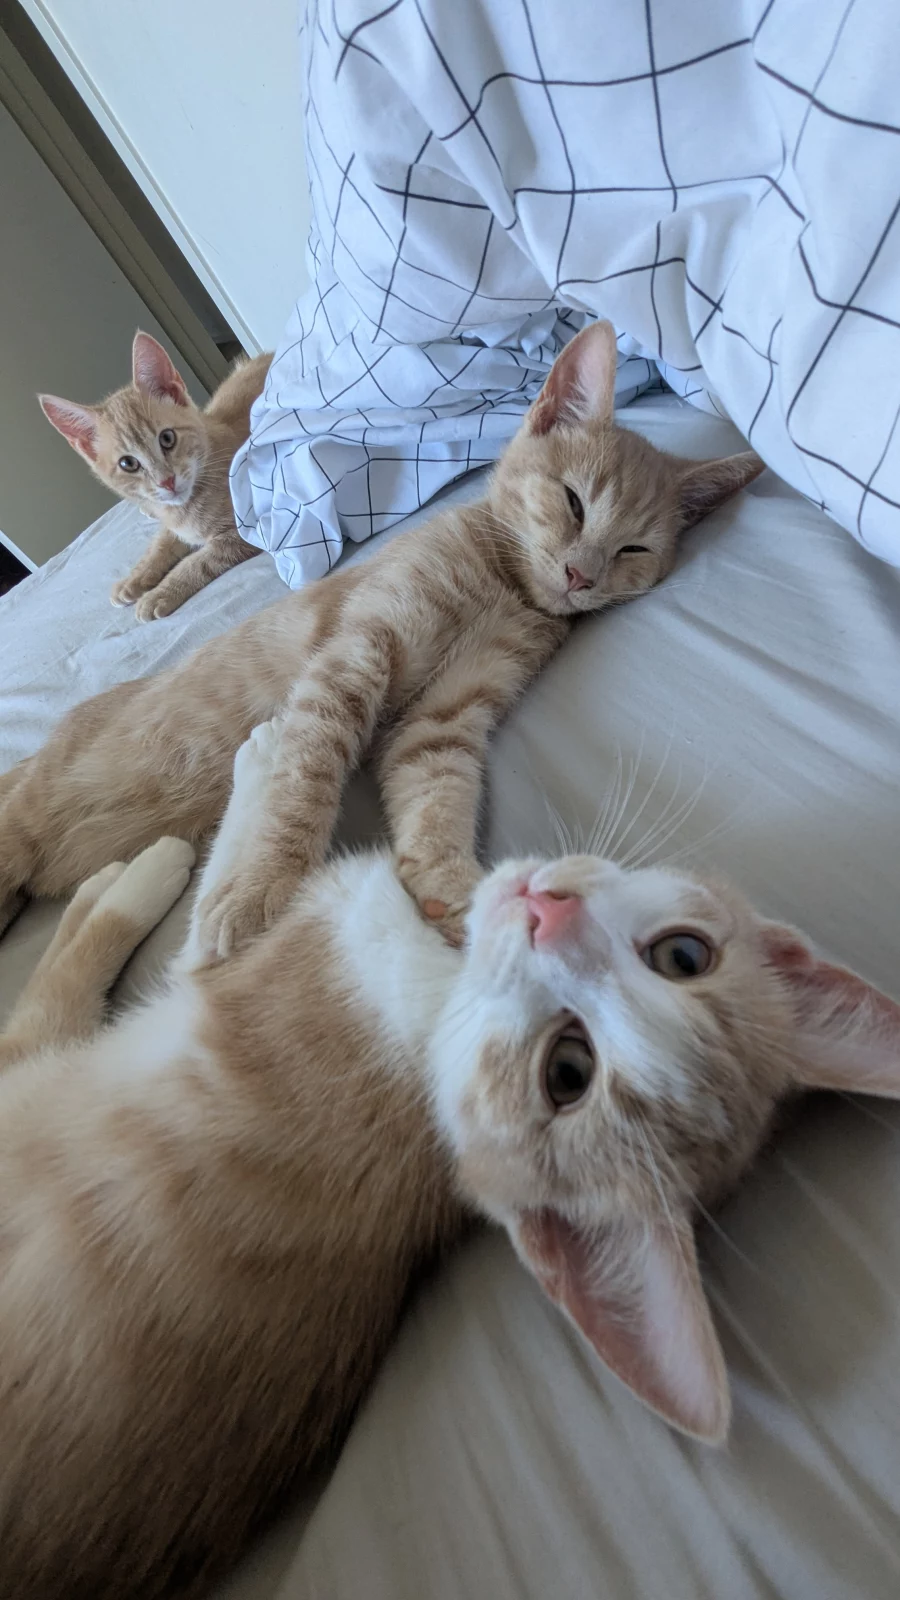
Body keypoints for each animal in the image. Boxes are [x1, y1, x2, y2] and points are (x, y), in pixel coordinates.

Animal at [2, 718, 899, 1600]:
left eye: (566, 1072)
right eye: (684, 955)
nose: (548, 912)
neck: (440, 1011)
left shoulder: (263, 965)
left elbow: (224, 887)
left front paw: (253, 771)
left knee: (42, 1014)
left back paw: (119, 878)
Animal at [39, 333, 272, 621]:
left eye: (167, 438)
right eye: (128, 463)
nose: (166, 482)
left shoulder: (250, 530)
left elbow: (200, 560)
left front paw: (160, 593)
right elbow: (161, 543)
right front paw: (134, 579)